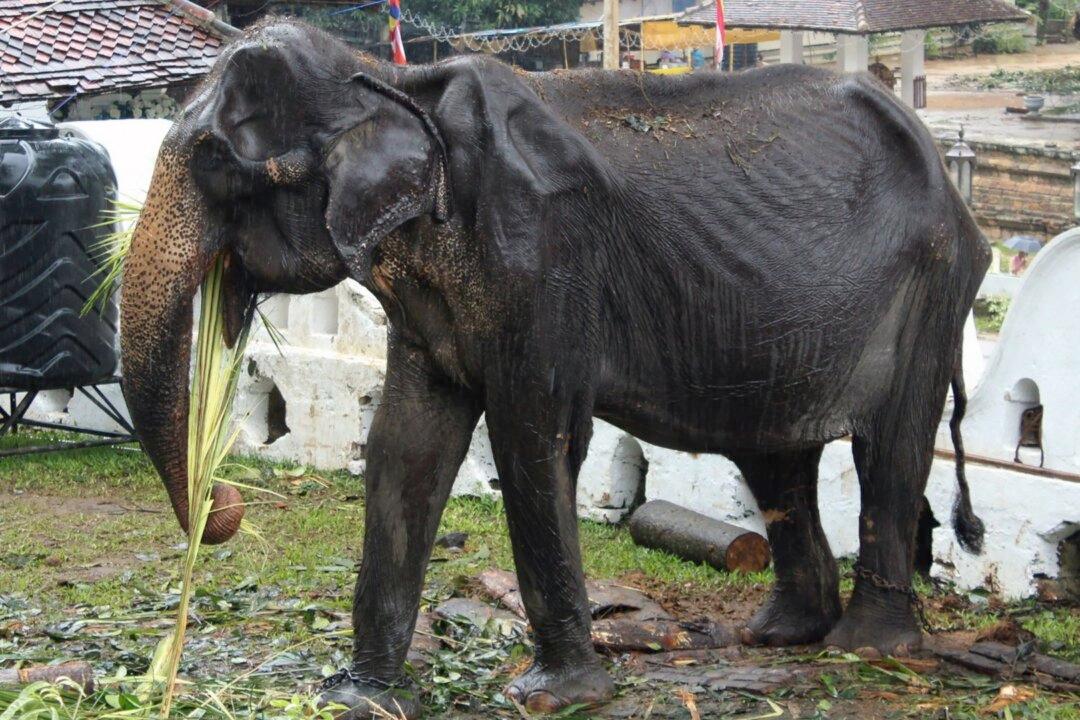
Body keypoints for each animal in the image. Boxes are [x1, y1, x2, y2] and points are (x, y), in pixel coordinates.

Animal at [119, 20, 989, 719]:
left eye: (215, 162)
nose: (226, 502)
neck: (392, 85)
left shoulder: (545, 257)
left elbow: (534, 440)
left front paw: (552, 697)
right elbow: (405, 447)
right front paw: (358, 698)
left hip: (932, 286)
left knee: (889, 450)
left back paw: (866, 649)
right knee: (775, 458)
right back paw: (781, 636)